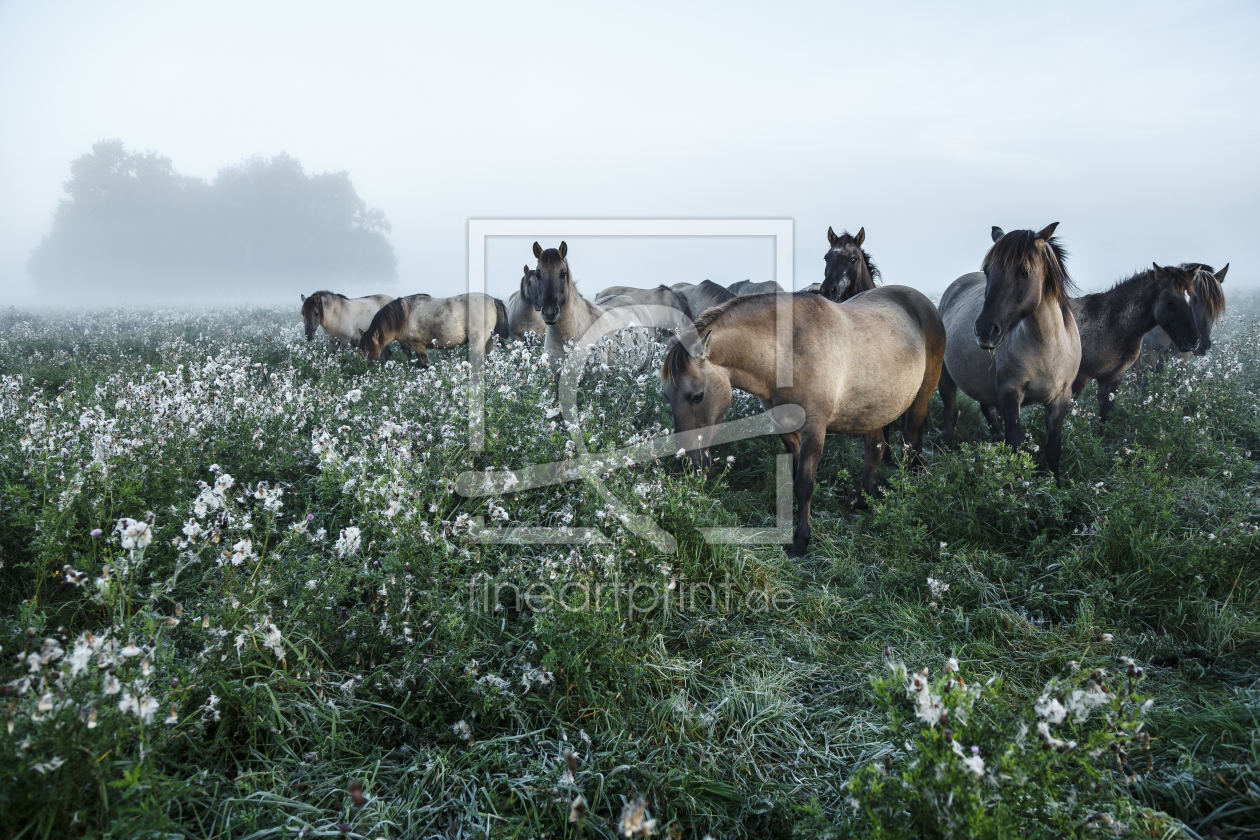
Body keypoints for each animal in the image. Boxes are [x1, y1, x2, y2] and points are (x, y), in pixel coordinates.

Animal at [360, 290, 506, 365]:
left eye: (370, 349)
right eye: (362, 349)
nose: (367, 366)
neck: (405, 315)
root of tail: (493, 300)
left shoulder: (418, 345)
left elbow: (423, 365)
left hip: (478, 342)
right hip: (489, 341)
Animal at [937, 222, 1083, 478]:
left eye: (1024, 271)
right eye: (987, 271)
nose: (984, 330)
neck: (1048, 348)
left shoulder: (1060, 398)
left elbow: (1053, 449)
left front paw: (1055, 484)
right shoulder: (1010, 393)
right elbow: (1017, 446)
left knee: (987, 412)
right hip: (946, 379)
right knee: (951, 414)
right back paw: (947, 451)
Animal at [1073, 264, 1199, 423]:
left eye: (1194, 299)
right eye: (1169, 301)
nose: (1193, 340)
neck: (1109, 324)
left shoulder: (1111, 380)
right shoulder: (1075, 382)